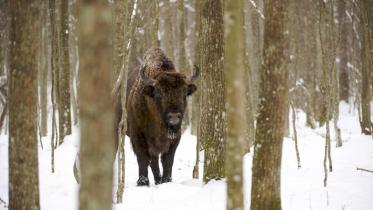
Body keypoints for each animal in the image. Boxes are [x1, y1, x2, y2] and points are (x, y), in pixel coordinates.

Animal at [115, 48, 198, 185]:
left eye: (184, 93)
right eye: (159, 93)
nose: (174, 117)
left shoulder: (175, 138)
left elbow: (167, 160)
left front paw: (167, 180)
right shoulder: (138, 135)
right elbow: (142, 158)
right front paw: (142, 182)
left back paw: (159, 180)